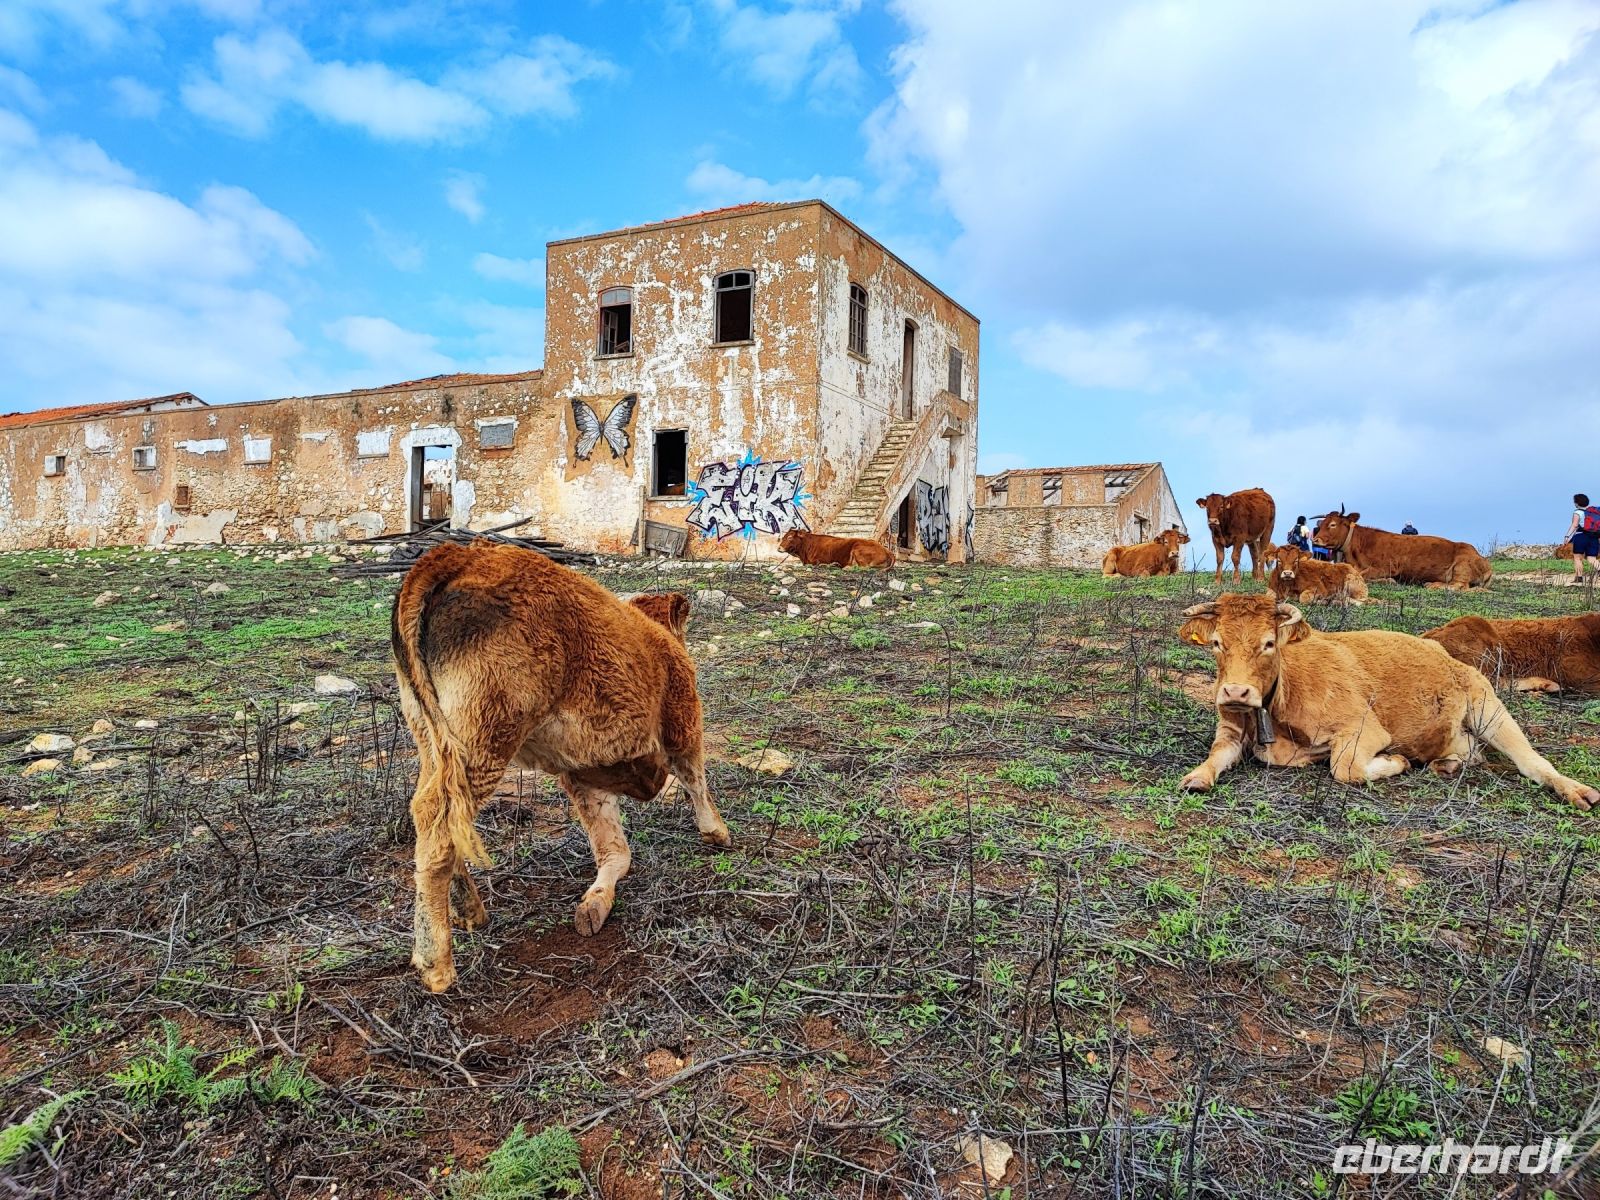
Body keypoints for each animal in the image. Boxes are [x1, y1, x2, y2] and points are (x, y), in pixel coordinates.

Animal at [391, 540, 729, 993]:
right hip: (485, 733)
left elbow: (614, 850)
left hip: (432, 738)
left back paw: (469, 911)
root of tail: (453, 555)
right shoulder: (683, 721)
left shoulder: (583, 776)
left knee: (434, 813)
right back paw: (436, 964)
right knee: (437, 818)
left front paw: (595, 904)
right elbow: (696, 780)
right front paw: (717, 833)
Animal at [1313, 512, 1492, 590]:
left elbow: (1361, 575)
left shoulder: (1387, 567)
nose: (1315, 540)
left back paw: (1432, 584)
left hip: (1462, 566)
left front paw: (1389, 581)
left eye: (1333, 524)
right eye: (1321, 524)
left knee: (1459, 586)